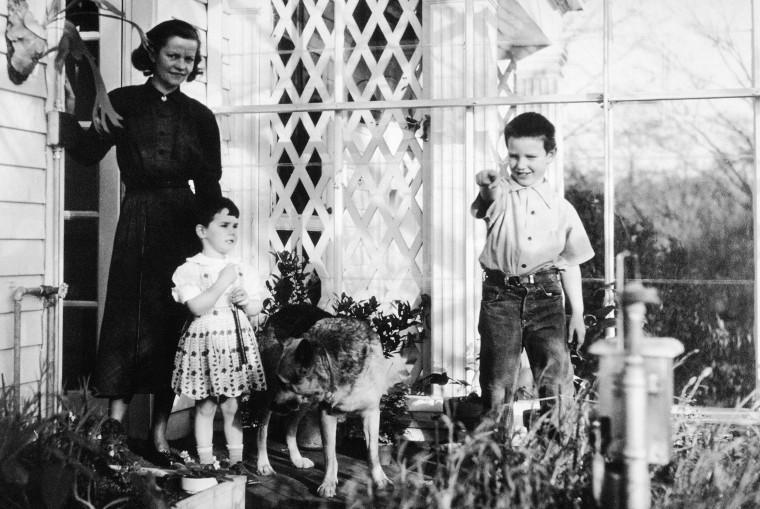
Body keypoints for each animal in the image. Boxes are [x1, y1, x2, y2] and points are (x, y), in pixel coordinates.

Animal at [254, 304, 388, 494]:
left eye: (284, 383)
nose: (274, 405)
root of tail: (284, 309)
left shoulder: (371, 413)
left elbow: (373, 454)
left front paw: (379, 479)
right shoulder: (327, 415)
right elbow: (330, 455)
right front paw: (328, 483)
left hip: (303, 403)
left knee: (290, 428)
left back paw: (296, 458)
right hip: (271, 397)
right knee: (262, 430)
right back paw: (263, 464)